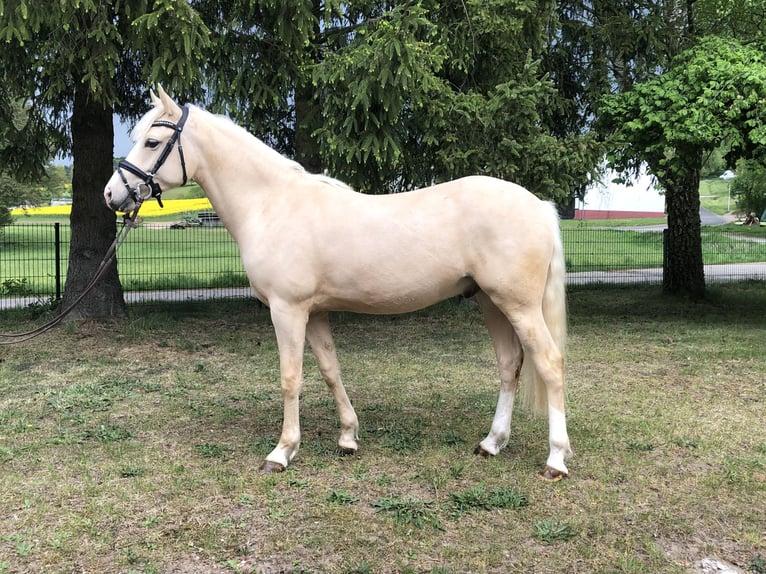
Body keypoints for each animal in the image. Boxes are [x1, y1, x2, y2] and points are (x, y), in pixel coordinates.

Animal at [104, 86, 573, 481]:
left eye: (151, 142)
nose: (112, 195)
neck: (271, 203)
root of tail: (538, 204)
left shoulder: (287, 310)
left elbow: (290, 377)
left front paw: (282, 451)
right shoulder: (314, 312)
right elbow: (330, 369)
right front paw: (348, 436)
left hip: (518, 306)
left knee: (549, 364)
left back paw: (555, 459)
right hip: (492, 303)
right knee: (510, 366)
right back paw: (491, 443)